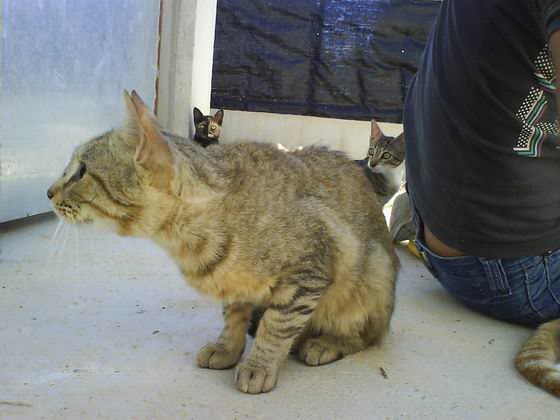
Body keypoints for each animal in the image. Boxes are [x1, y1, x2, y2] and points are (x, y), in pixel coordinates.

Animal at [47, 91, 398, 394]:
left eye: (81, 172)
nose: (48, 192)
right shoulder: (236, 286)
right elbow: (234, 319)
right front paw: (228, 348)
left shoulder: (309, 272)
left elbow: (277, 325)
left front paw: (259, 364)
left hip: (373, 272)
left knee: (366, 335)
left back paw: (325, 343)